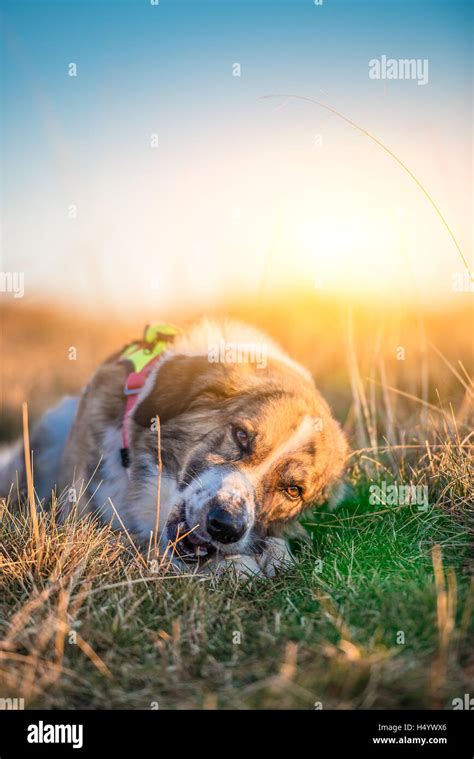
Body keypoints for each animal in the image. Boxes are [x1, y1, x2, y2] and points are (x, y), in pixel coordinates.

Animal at [0, 320, 348, 576]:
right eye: (240, 436)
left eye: (293, 490)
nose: (225, 526)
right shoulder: (79, 520)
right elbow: (128, 543)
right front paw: (236, 565)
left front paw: (275, 551)